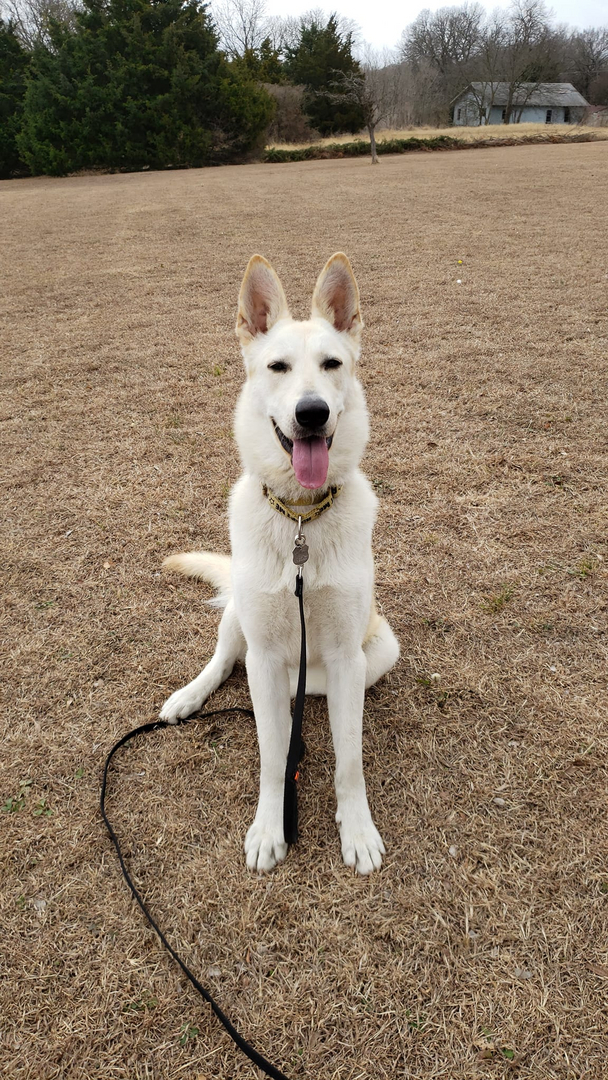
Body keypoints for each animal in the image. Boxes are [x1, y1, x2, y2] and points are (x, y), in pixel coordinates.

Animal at [160, 254, 399, 876]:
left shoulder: (345, 658)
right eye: (278, 366)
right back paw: (188, 696)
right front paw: (270, 827)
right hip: (240, 617)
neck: (300, 519)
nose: (311, 412)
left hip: (378, 651)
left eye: (332, 364)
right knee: (223, 661)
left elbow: (348, 761)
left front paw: (357, 830)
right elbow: (272, 757)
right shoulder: (264, 655)